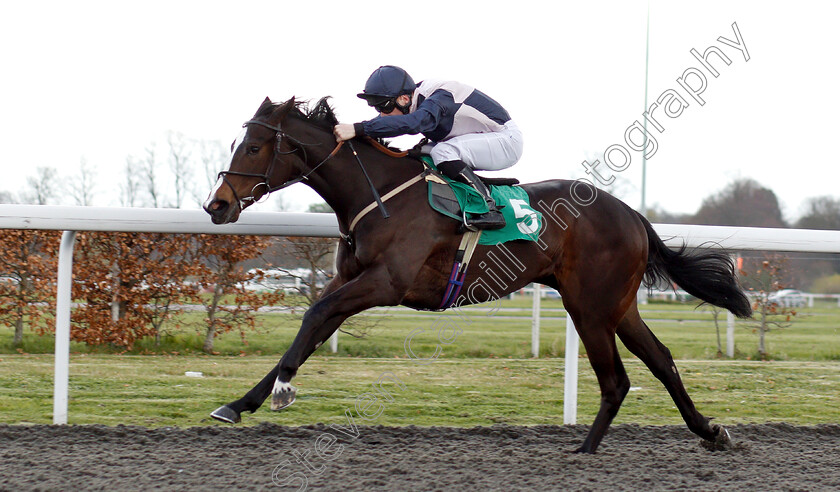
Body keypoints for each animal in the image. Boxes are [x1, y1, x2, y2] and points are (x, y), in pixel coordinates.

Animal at [205, 96, 756, 454]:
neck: (378, 194)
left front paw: (280, 392)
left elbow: (314, 315)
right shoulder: (351, 281)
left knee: (616, 379)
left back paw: (584, 452)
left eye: (253, 147)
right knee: (661, 360)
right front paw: (239, 403)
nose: (217, 205)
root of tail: (632, 214)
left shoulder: (384, 284)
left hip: (590, 307)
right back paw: (710, 432)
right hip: (616, 305)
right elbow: (312, 328)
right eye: (235, 142)